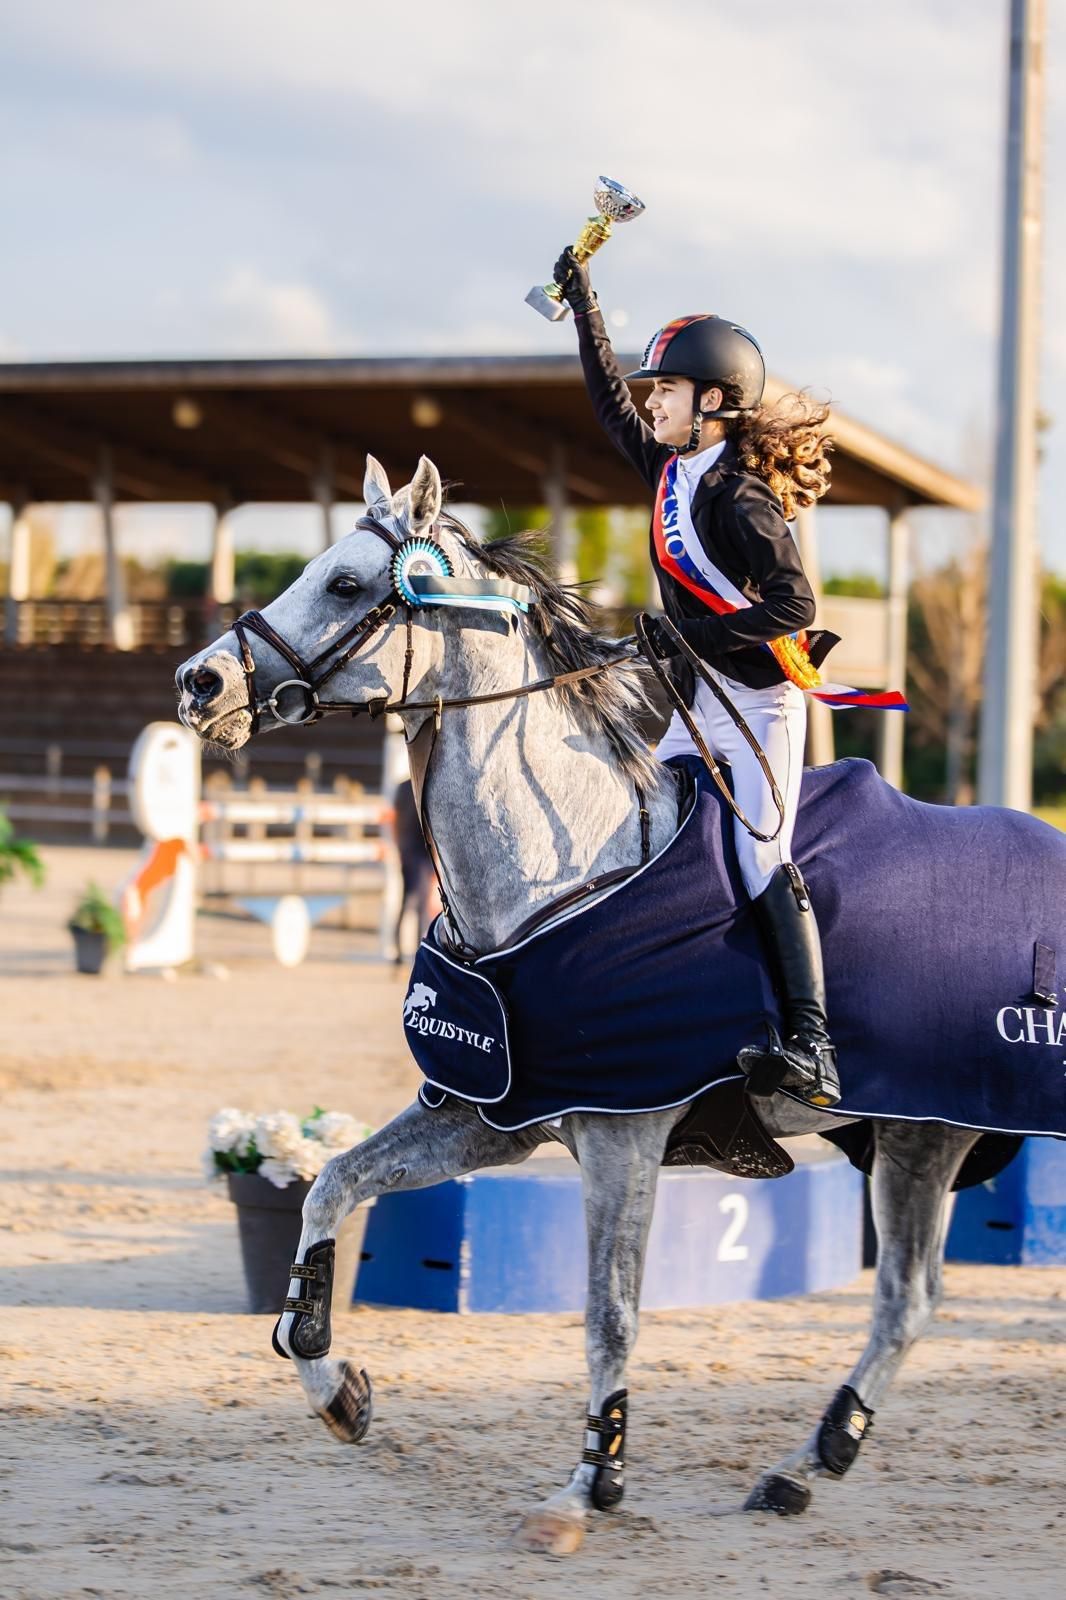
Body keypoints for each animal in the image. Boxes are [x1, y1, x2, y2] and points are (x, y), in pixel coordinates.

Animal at [174, 457, 1043, 1555]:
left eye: (342, 583)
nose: (199, 683)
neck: (561, 871)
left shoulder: (623, 1136)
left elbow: (610, 1312)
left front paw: (592, 1483)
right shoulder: (493, 1115)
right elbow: (331, 1183)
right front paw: (335, 1382)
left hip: (931, 1130)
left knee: (905, 1297)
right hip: (915, 1133)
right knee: (906, 1298)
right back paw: (804, 1467)